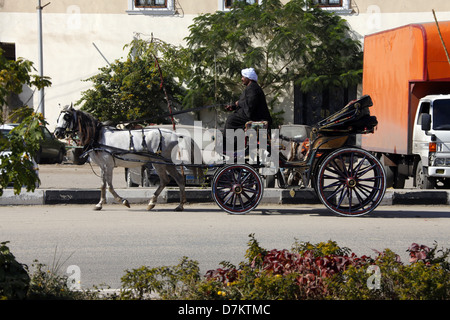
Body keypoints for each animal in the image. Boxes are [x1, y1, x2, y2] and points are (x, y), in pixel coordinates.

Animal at [55, 106, 203, 211]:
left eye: (67, 117)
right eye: (58, 118)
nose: (57, 133)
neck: (97, 136)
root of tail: (176, 134)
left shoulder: (108, 165)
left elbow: (109, 186)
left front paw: (123, 201)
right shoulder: (103, 166)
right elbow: (102, 185)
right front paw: (99, 204)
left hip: (159, 162)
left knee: (165, 180)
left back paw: (152, 202)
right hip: (167, 163)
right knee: (178, 179)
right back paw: (179, 206)